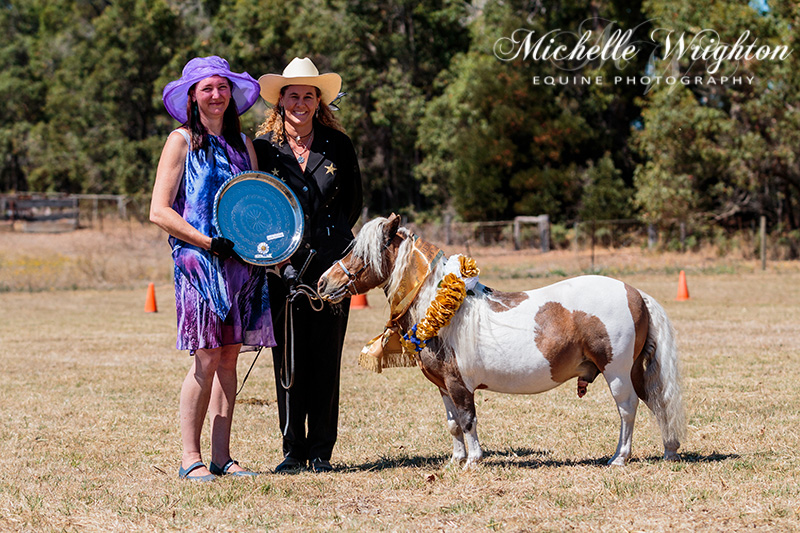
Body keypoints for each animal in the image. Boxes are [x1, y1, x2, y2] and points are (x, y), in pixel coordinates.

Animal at [316, 215, 684, 466]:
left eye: (362, 253)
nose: (322, 283)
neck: (441, 310)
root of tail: (636, 293)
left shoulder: (459, 384)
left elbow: (468, 420)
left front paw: (473, 460)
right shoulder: (442, 386)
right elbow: (453, 425)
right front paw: (454, 461)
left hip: (617, 372)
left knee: (627, 409)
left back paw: (619, 457)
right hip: (633, 371)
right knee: (654, 402)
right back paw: (668, 450)